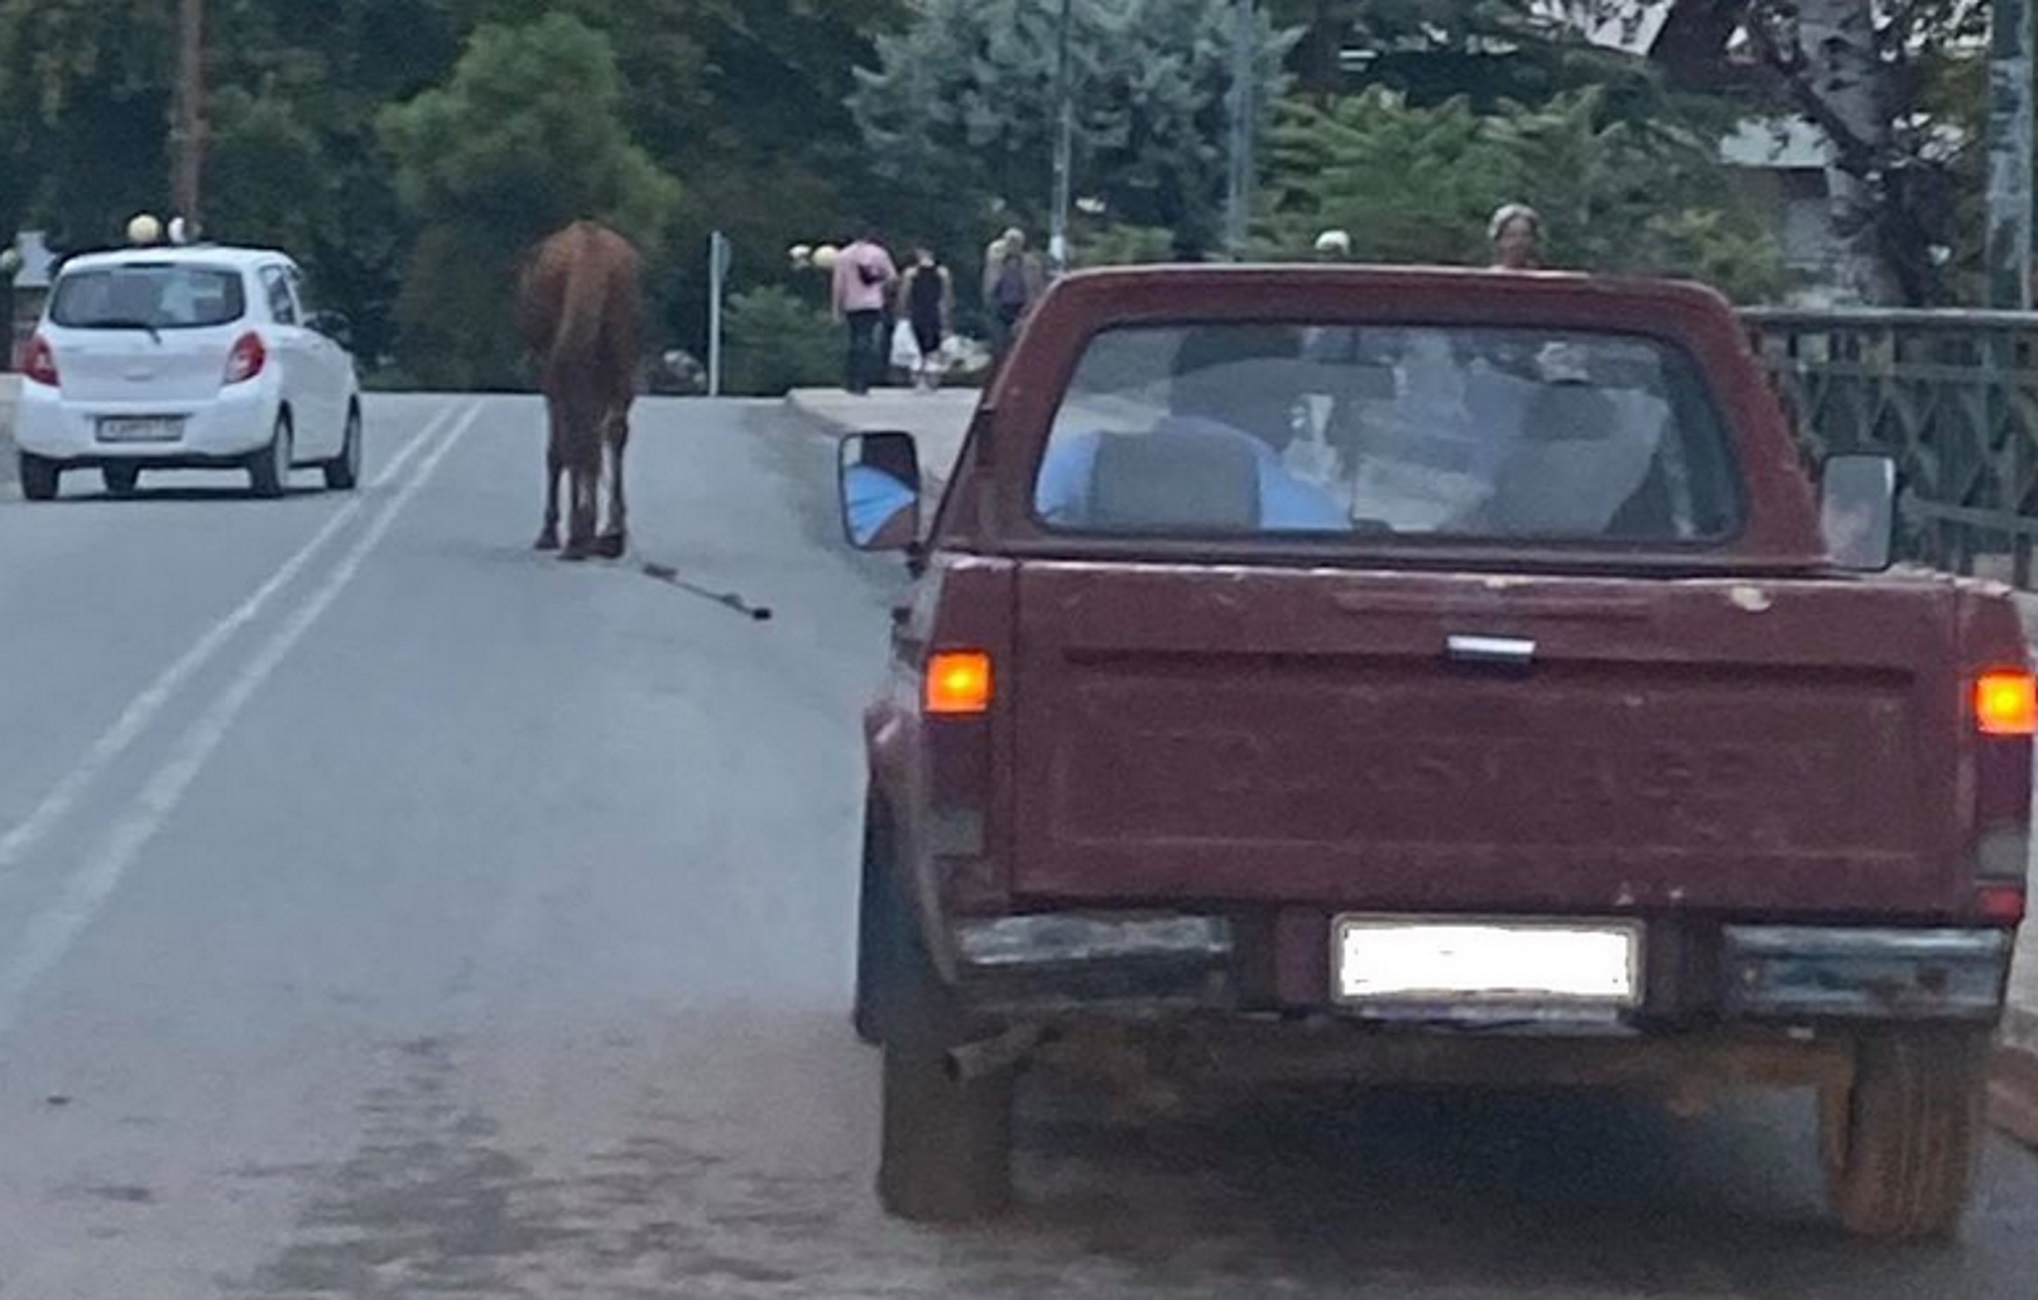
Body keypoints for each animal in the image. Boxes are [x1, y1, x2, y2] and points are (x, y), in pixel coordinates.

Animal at [513, 224, 639, 562]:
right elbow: (594, 439)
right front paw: (597, 531)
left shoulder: (551, 376)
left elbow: (560, 449)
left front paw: (556, 531)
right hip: (617, 356)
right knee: (612, 431)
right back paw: (608, 532)